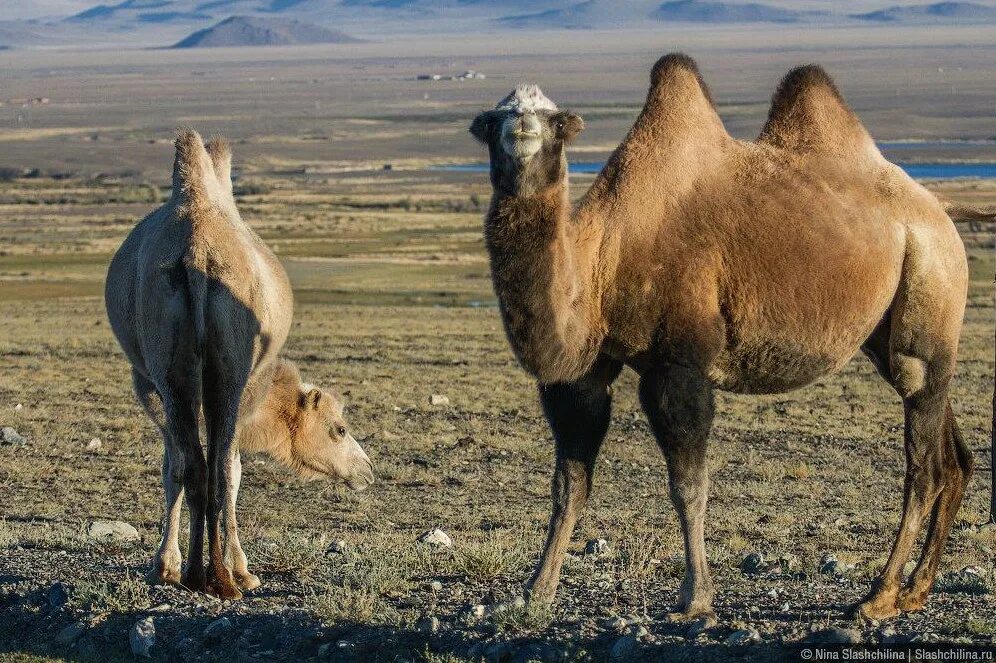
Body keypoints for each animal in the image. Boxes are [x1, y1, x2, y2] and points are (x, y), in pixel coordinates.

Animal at [106, 131, 374, 600]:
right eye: (339, 429)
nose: (368, 470)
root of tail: (198, 249)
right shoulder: (245, 387)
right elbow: (229, 467)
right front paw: (225, 566)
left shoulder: (151, 386)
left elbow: (173, 467)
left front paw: (164, 566)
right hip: (231, 374)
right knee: (220, 470)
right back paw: (232, 575)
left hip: (172, 370)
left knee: (196, 466)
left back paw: (200, 573)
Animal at [468, 55, 988, 624]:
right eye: (491, 122)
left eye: (557, 123)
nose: (522, 128)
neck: (604, 258)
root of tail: (939, 209)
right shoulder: (583, 372)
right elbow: (568, 485)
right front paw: (535, 591)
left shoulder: (678, 365)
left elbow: (688, 486)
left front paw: (695, 598)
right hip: (893, 332)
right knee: (950, 451)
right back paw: (915, 590)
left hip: (931, 280)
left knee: (923, 463)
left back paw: (880, 595)